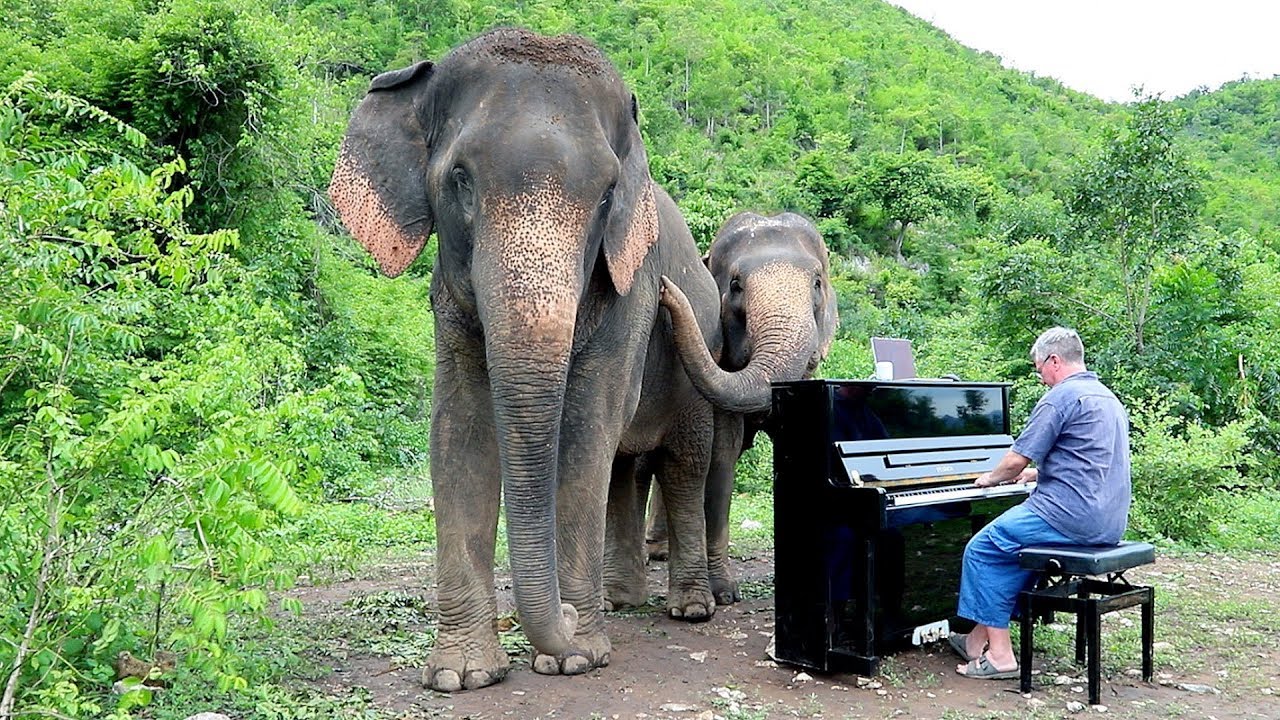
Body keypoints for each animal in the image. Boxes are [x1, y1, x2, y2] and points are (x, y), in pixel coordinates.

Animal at [328, 28, 726, 692]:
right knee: (625, 469)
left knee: (682, 465)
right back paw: (619, 601)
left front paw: (577, 658)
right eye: (460, 179)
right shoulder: (449, 300)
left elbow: (587, 432)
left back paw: (690, 609)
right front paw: (461, 675)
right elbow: (459, 434)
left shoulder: (632, 292)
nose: (558, 614)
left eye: (608, 195)